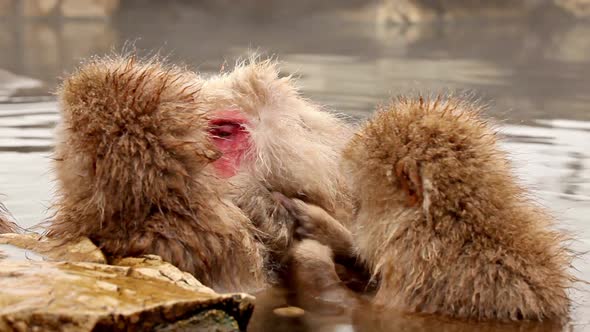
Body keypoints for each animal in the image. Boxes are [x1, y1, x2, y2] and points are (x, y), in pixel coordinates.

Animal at [280, 96, 572, 322]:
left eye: (358, 204)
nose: (355, 214)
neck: (455, 224)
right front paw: (323, 228)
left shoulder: (424, 271)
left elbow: (371, 313)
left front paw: (311, 254)